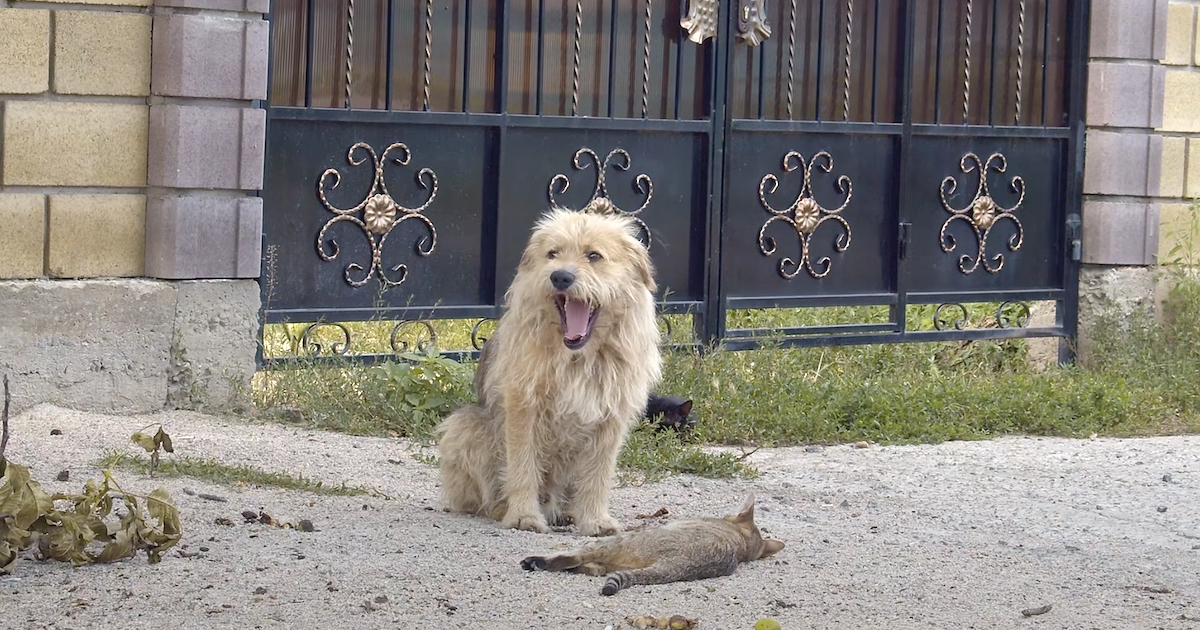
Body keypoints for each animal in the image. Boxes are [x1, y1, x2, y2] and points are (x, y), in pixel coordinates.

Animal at [439, 199, 667, 532]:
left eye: (593, 255)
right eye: (553, 254)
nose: (560, 277)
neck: (577, 357)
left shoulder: (611, 416)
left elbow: (598, 475)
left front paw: (595, 519)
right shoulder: (523, 405)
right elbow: (523, 465)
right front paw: (523, 515)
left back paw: (570, 512)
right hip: (464, 427)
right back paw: (504, 508)